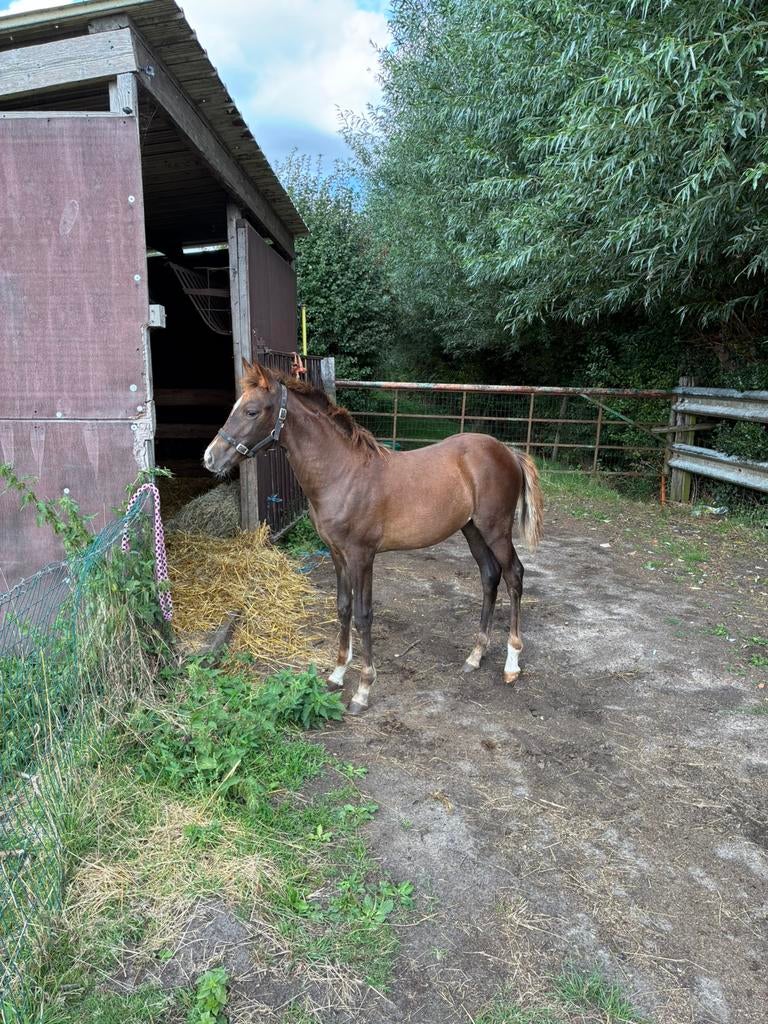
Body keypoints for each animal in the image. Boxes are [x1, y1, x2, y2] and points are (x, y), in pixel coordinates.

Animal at [204, 362, 543, 714]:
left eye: (251, 411)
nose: (210, 458)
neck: (343, 473)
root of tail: (507, 451)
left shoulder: (361, 556)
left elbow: (364, 615)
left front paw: (363, 690)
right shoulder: (337, 554)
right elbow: (343, 608)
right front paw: (337, 675)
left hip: (496, 530)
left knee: (514, 575)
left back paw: (511, 664)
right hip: (472, 529)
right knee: (489, 576)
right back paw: (475, 656)